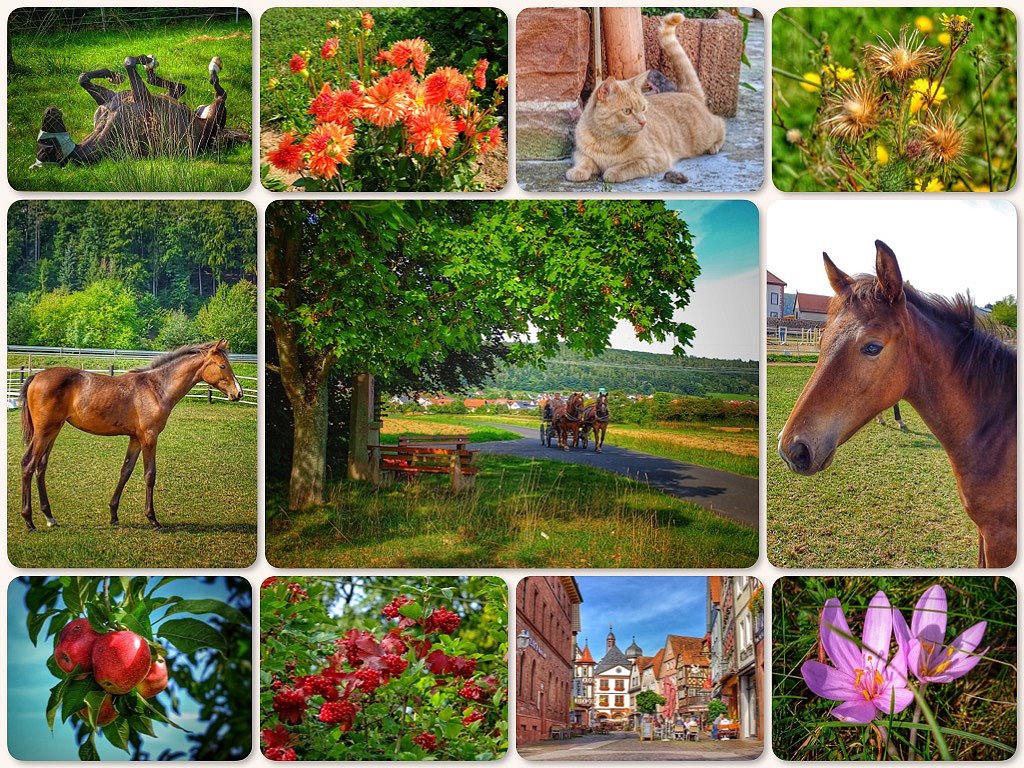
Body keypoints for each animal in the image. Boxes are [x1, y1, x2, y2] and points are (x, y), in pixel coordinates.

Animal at [569, 14, 729, 185]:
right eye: (627, 111)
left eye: (643, 108)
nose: (643, 122)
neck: (607, 140)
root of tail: (687, 93)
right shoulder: (579, 152)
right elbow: (584, 161)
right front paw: (577, 171)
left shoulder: (655, 159)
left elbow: (626, 166)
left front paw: (611, 172)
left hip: (705, 134)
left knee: (721, 123)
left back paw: (714, 146)